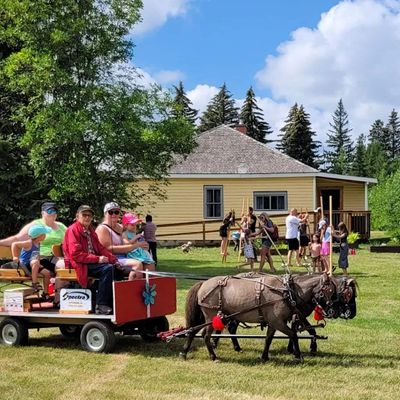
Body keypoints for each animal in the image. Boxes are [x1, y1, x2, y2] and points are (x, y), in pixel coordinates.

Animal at [180, 272, 338, 362]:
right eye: (330, 290)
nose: (332, 310)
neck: (287, 291)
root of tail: (203, 283)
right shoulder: (277, 321)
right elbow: (293, 334)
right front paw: (298, 355)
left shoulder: (273, 322)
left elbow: (268, 339)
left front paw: (264, 356)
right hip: (210, 315)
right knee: (205, 335)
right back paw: (213, 356)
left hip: (206, 316)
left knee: (192, 331)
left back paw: (184, 352)